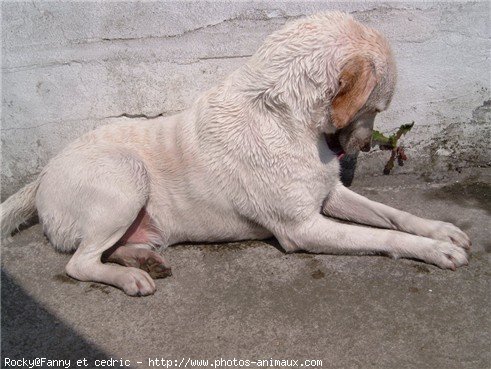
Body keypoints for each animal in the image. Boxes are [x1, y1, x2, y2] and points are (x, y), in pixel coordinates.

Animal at [1, 11, 470, 294]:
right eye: (378, 107)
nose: (368, 146)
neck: (285, 116)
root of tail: (42, 176)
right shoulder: (303, 228)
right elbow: (384, 236)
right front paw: (434, 250)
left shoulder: (330, 194)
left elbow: (393, 215)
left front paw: (440, 230)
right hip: (127, 174)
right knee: (78, 264)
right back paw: (131, 276)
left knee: (99, 250)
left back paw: (142, 258)